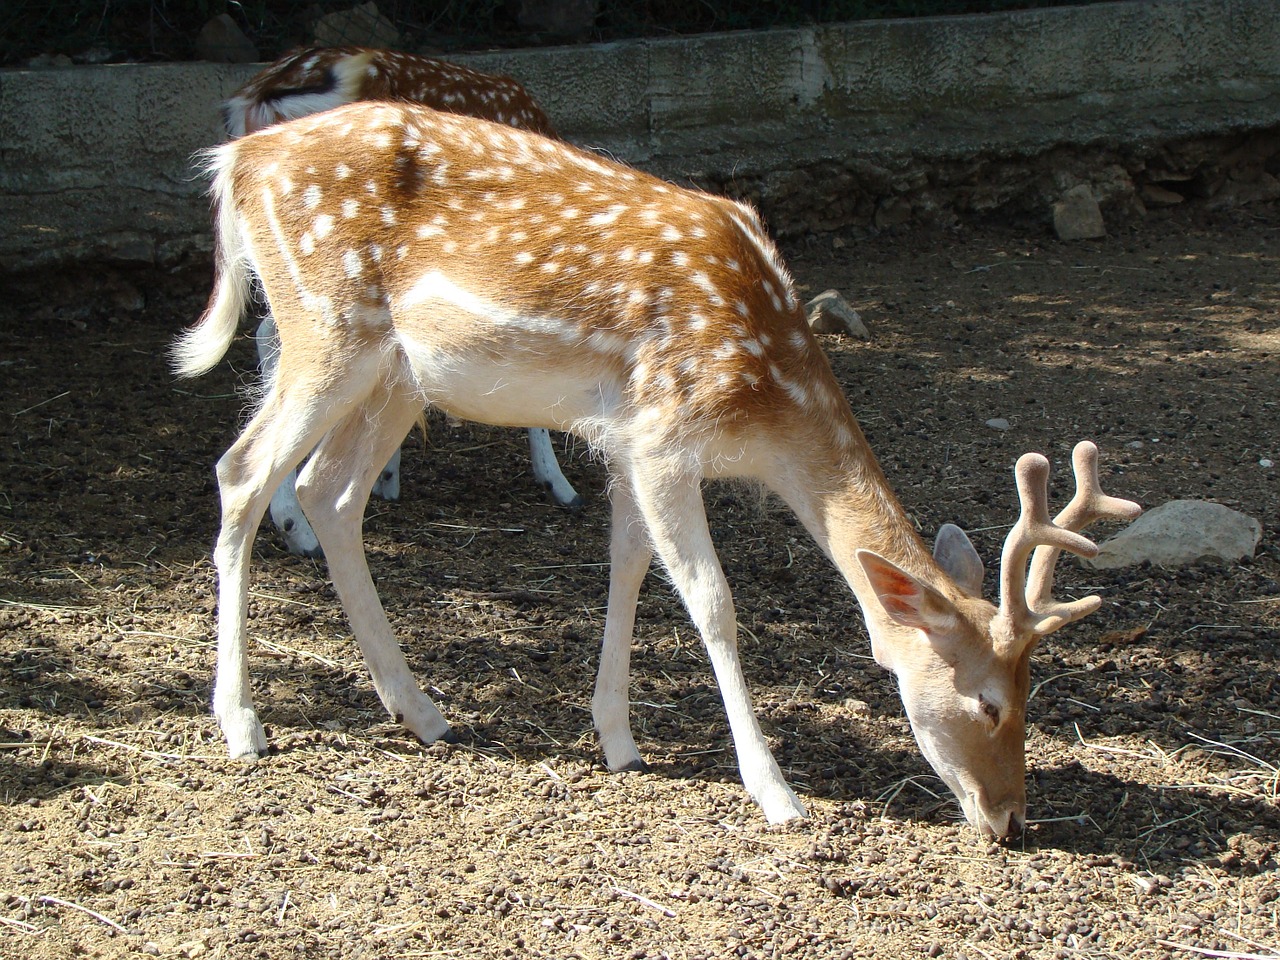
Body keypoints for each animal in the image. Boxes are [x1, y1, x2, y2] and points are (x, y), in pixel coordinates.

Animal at [170, 101, 1141, 839]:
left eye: (1035, 693)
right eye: (986, 702)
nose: (1010, 819)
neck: (765, 398)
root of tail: (235, 160)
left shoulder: (632, 441)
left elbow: (629, 566)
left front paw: (617, 737)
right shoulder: (668, 435)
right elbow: (712, 601)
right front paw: (774, 792)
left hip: (400, 373)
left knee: (327, 491)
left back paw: (420, 709)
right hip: (324, 324)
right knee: (240, 471)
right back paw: (243, 721)